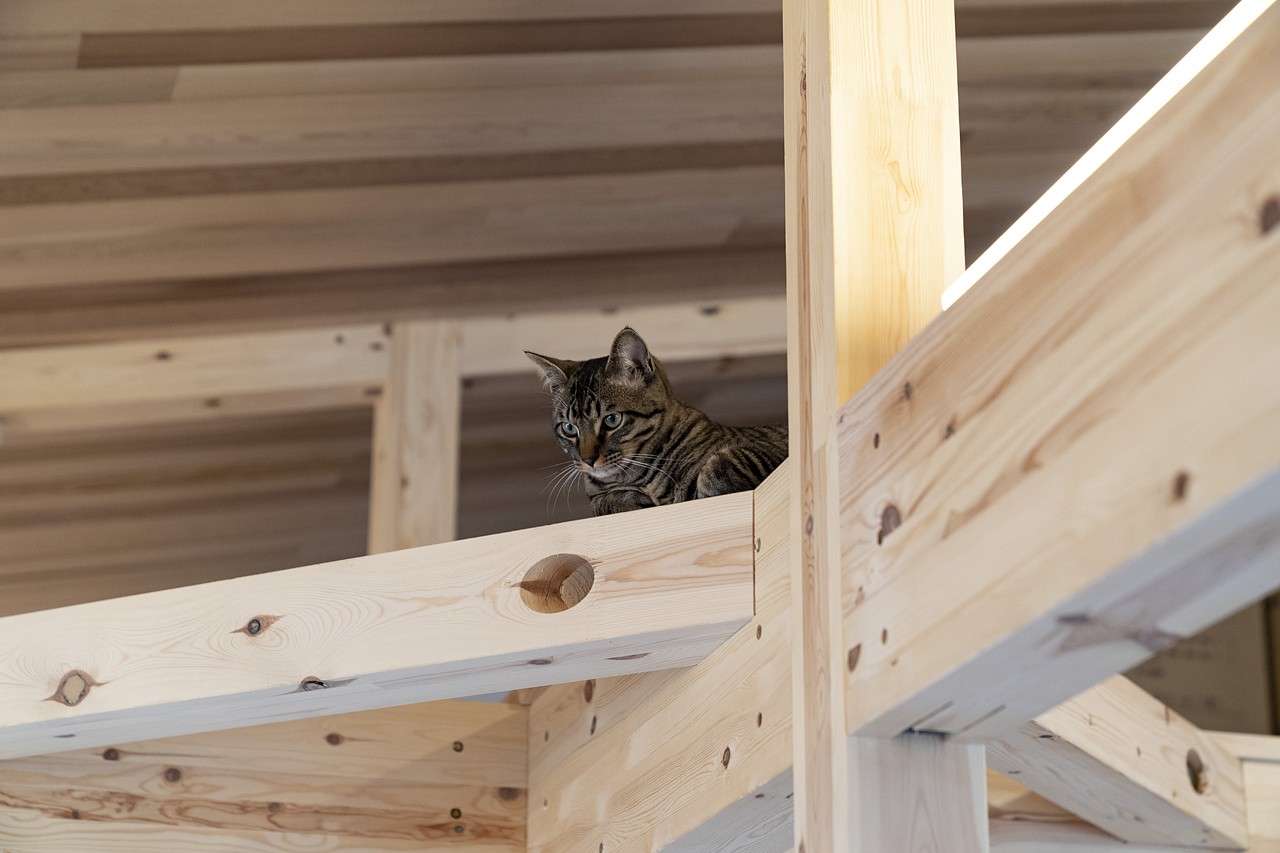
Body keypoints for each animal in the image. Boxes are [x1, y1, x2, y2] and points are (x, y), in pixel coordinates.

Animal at [522, 324, 783, 512]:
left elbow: (720, 464)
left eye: (612, 420)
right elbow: (604, 500)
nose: (587, 460)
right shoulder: (598, 494)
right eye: (569, 428)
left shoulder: (765, 452)